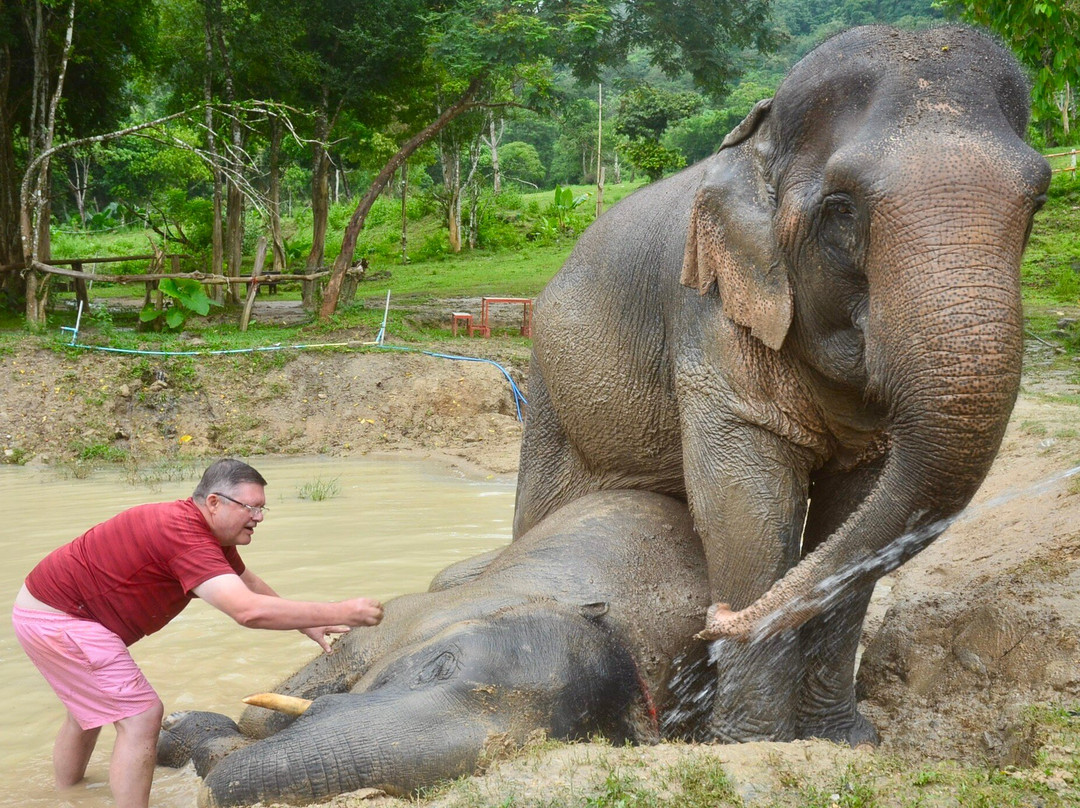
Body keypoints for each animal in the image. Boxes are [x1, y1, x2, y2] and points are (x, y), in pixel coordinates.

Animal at [157, 490, 713, 807]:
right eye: (439, 665)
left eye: (519, 752)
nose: (176, 720)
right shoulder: (409, 617)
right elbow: (272, 708)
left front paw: (194, 736)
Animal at [513, 25, 1051, 746]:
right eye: (843, 209)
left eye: (1038, 203)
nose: (713, 620)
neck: (760, 141)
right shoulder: (708, 311)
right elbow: (747, 500)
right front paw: (750, 744)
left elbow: (856, 505)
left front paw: (841, 740)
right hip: (550, 393)